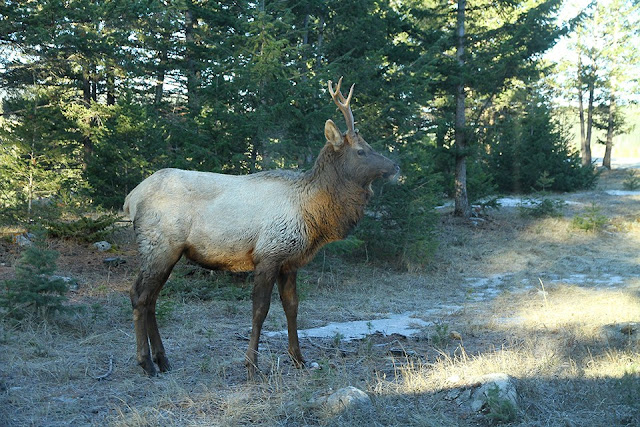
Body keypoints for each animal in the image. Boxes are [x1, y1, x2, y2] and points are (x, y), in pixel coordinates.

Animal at [122, 77, 398, 378]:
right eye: (361, 151)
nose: (395, 166)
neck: (313, 214)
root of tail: (131, 198)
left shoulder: (290, 261)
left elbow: (292, 307)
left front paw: (299, 359)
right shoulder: (268, 254)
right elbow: (260, 310)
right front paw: (252, 365)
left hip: (166, 251)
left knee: (150, 298)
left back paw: (163, 360)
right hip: (159, 245)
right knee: (140, 296)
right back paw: (146, 362)